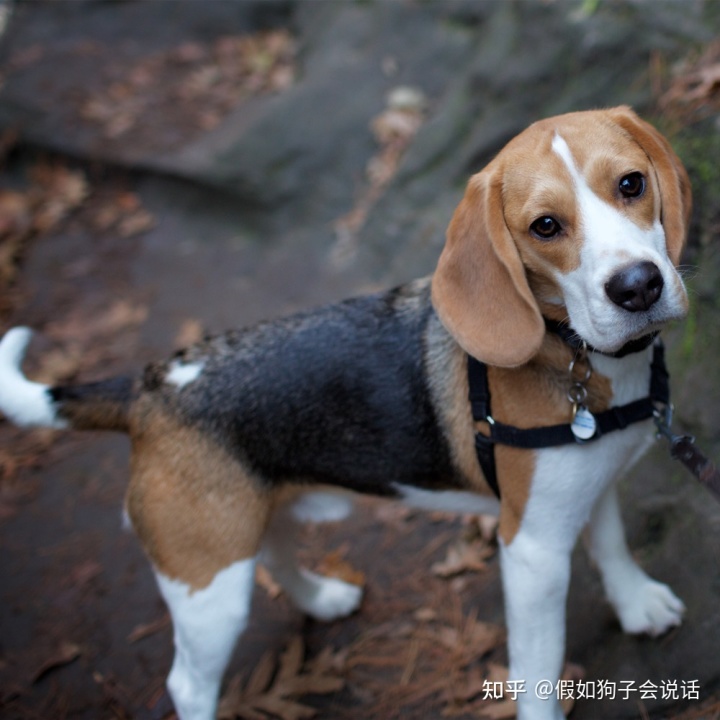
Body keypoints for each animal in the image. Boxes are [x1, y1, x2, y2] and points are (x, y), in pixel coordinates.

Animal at [0, 107, 692, 720]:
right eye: (545, 226)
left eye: (631, 184)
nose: (638, 287)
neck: (576, 352)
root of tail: (149, 386)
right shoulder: (532, 551)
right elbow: (540, 670)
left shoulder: (590, 483)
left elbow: (612, 543)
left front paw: (636, 604)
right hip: (208, 586)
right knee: (187, 686)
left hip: (249, 518)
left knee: (275, 553)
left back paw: (323, 597)